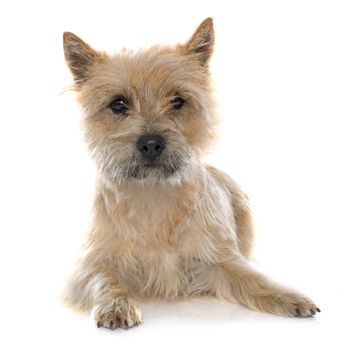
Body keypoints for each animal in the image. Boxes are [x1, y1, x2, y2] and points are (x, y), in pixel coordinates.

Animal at [61, 17, 318, 330]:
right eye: (118, 103)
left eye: (178, 101)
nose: (151, 143)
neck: (154, 196)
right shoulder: (88, 265)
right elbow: (104, 279)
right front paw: (117, 305)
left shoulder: (220, 259)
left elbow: (254, 279)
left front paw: (290, 296)